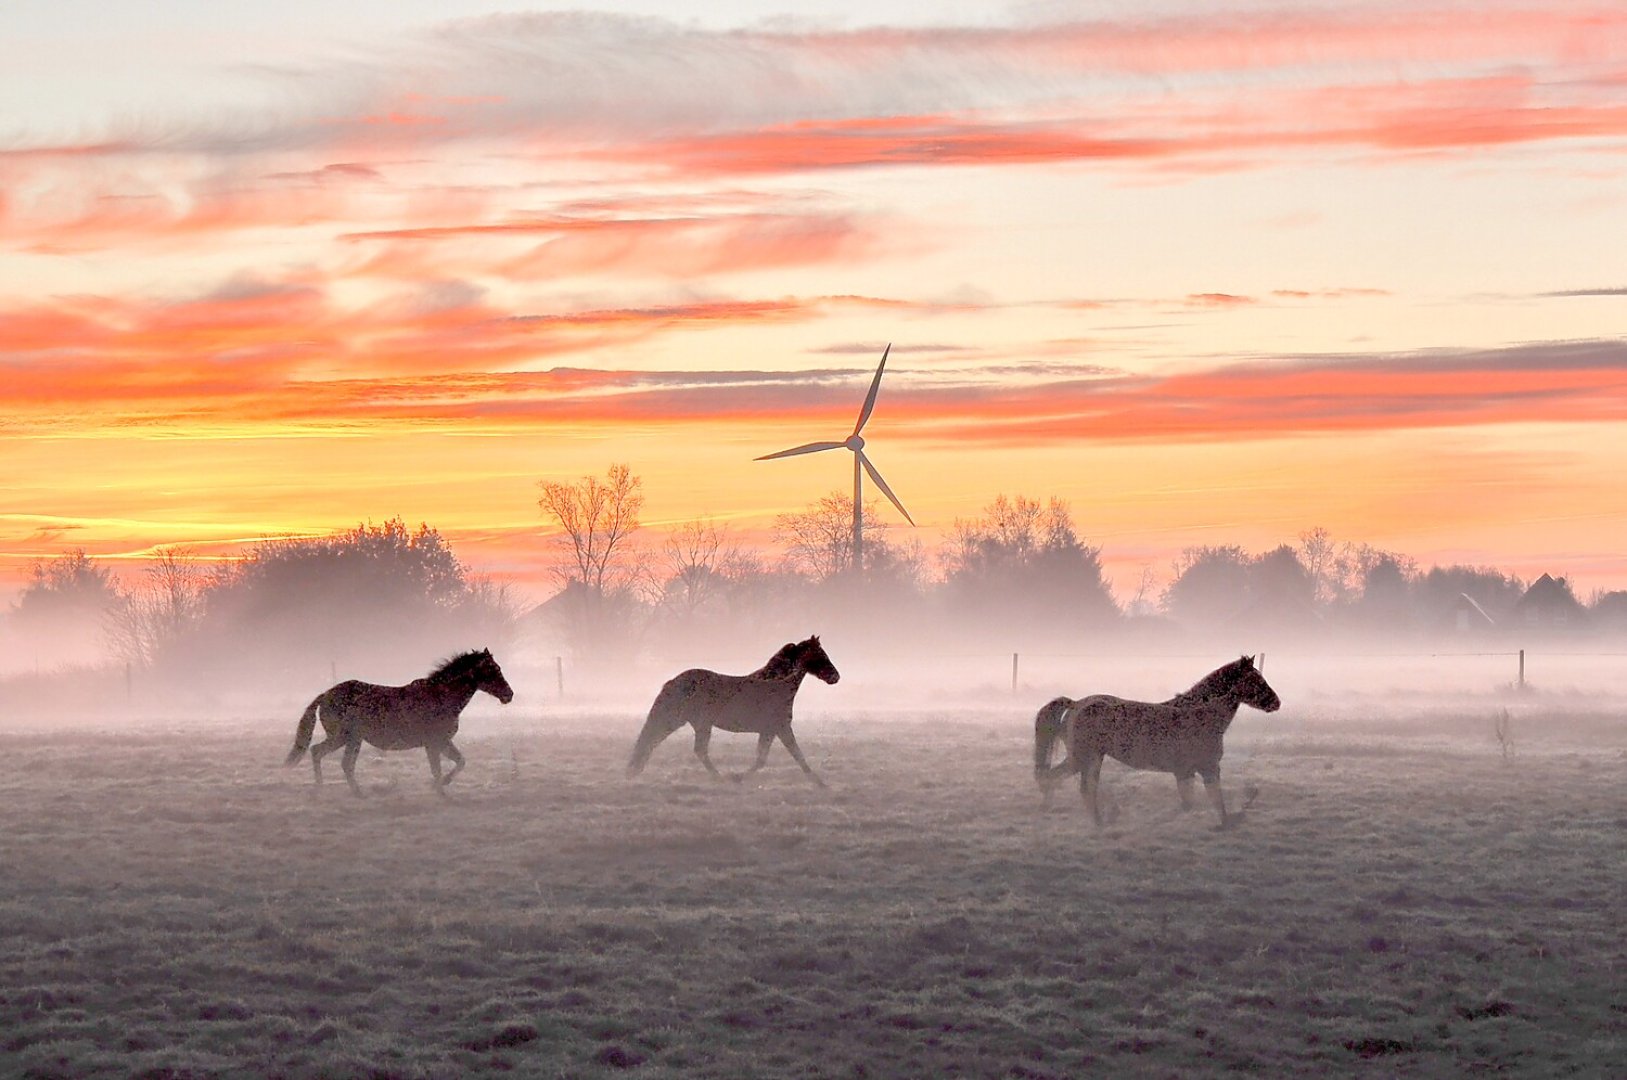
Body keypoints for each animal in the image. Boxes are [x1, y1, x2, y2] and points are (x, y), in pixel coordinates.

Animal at [283, 644, 514, 796]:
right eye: (493, 670)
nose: (509, 694)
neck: (440, 697)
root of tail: (325, 695)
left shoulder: (442, 742)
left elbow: (459, 762)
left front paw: (442, 786)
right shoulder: (434, 743)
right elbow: (438, 769)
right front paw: (441, 792)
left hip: (351, 739)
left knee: (336, 760)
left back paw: (344, 791)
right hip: (344, 737)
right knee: (325, 755)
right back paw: (332, 789)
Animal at [624, 637, 839, 790]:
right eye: (820, 653)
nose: (835, 676)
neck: (777, 685)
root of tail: (675, 681)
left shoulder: (769, 731)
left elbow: (763, 759)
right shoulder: (781, 728)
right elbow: (796, 755)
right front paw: (820, 783)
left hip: (684, 721)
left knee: (657, 740)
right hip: (694, 722)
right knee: (689, 748)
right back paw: (718, 777)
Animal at [1028, 653, 1282, 829]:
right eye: (1255, 680)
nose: (1276, 702)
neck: (1201, 715)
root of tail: (1076, 704)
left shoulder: (1187, 772)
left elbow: (1191, 804)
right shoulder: (1207, 769)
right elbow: (1214, 803)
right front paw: (1229, 822)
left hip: (1092, 758)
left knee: (1083, 787)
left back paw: (1102, 818)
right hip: (1082, 758)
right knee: (1060, 780)